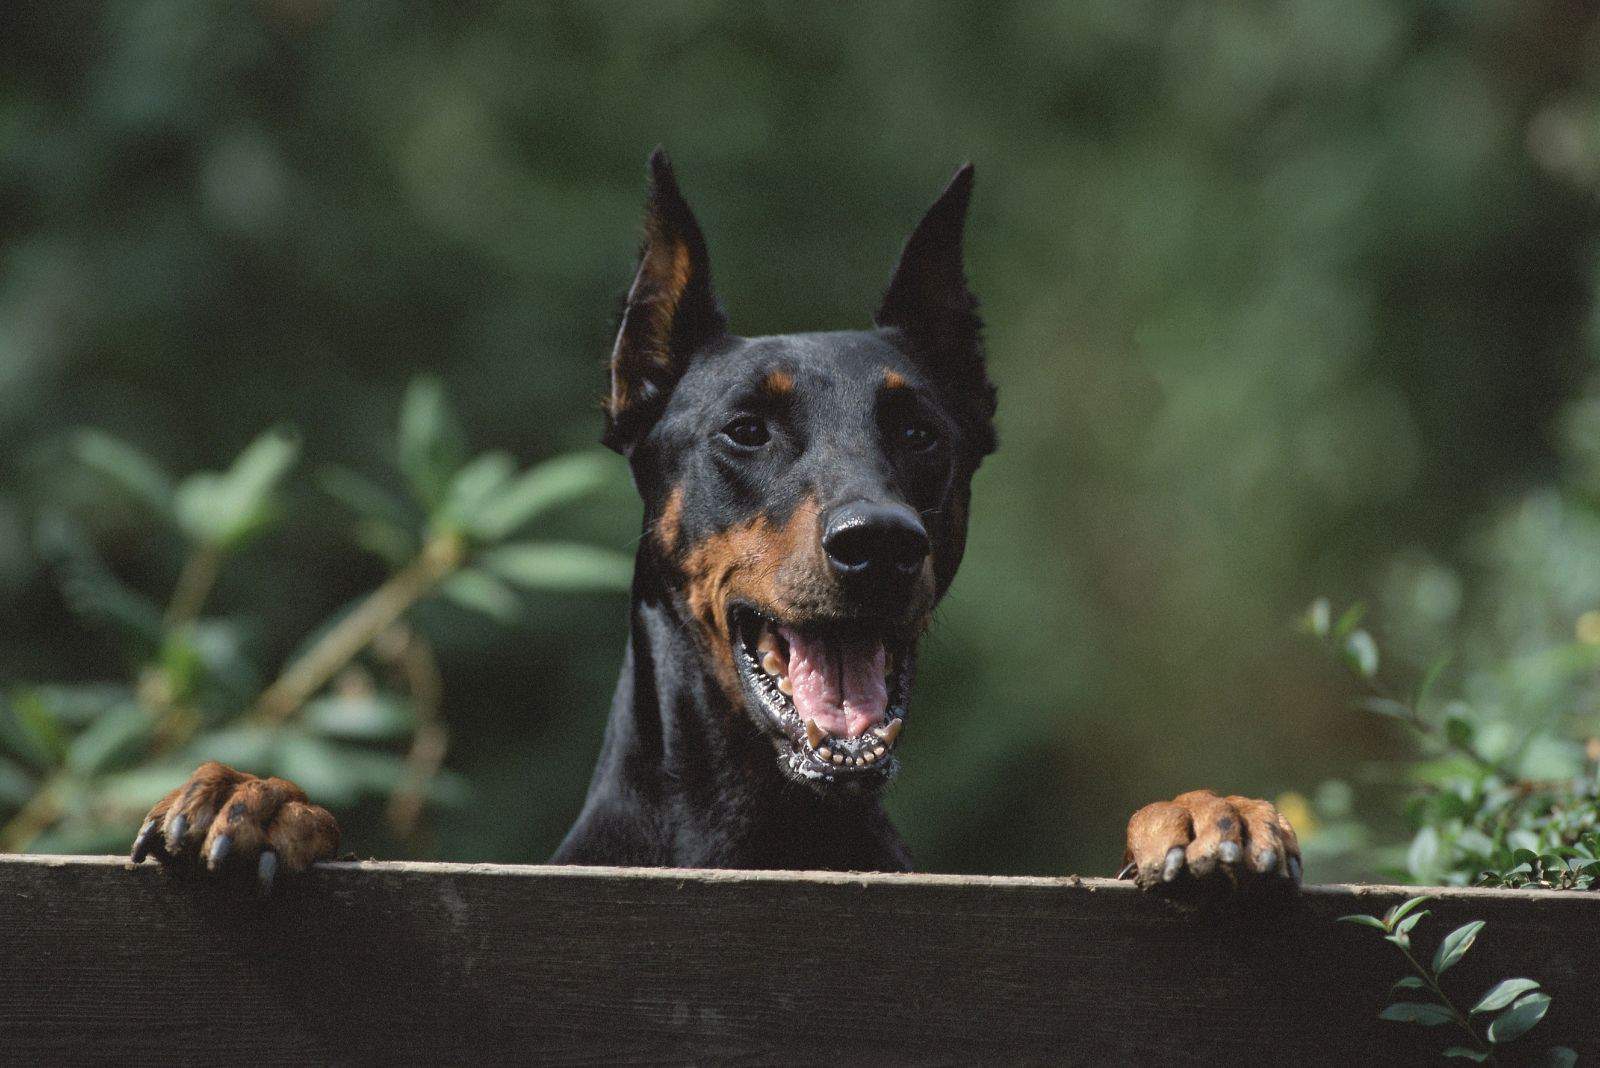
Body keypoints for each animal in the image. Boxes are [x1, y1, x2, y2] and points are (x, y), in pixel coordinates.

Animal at [134, 147, 1299, 882]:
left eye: (922, 431)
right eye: (745, 429)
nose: (880, 545)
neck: (761, 832)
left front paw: (1203, 815)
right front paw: (261, 801)